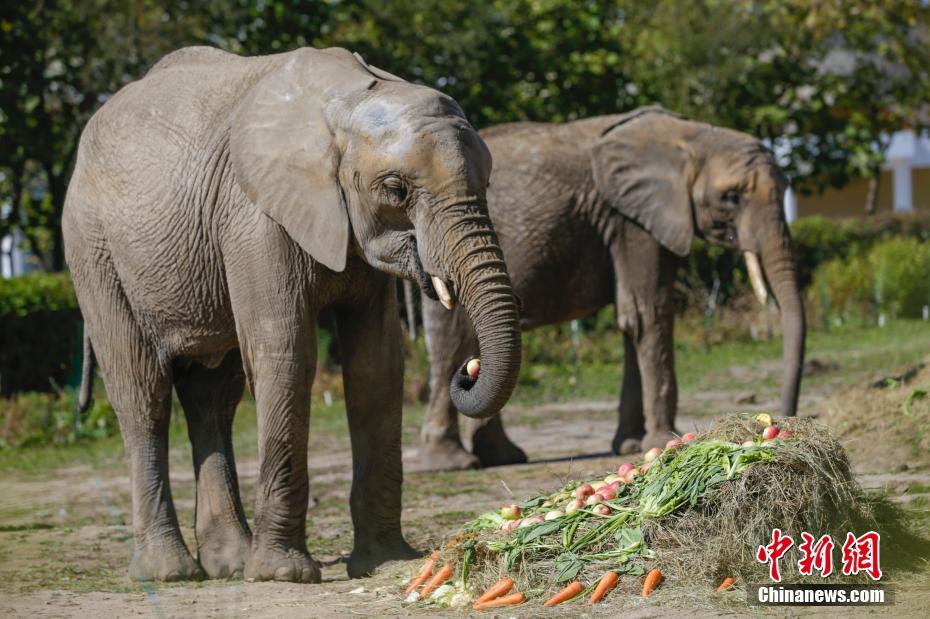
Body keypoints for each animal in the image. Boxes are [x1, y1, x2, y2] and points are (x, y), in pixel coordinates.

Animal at [63, 46, 520, 584]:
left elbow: (375, 366)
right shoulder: (254, 218)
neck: (349, 100)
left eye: (488, 180)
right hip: (94, 252)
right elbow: (287, 356)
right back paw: (169, 573)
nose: (467, 371)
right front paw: (284, 575)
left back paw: (228, 564)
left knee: (212, 399)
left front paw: (387, 560)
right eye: (395, 189)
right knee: (142, 394)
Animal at [416, 109, 804, 472]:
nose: (779, 418)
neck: (691, 136)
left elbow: (633, 319)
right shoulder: (630, 220)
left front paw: (630, 445)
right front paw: (665, 440)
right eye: (732, 197)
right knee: (452, 343)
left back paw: (504, 458)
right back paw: (453, 464)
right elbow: (649, 314)